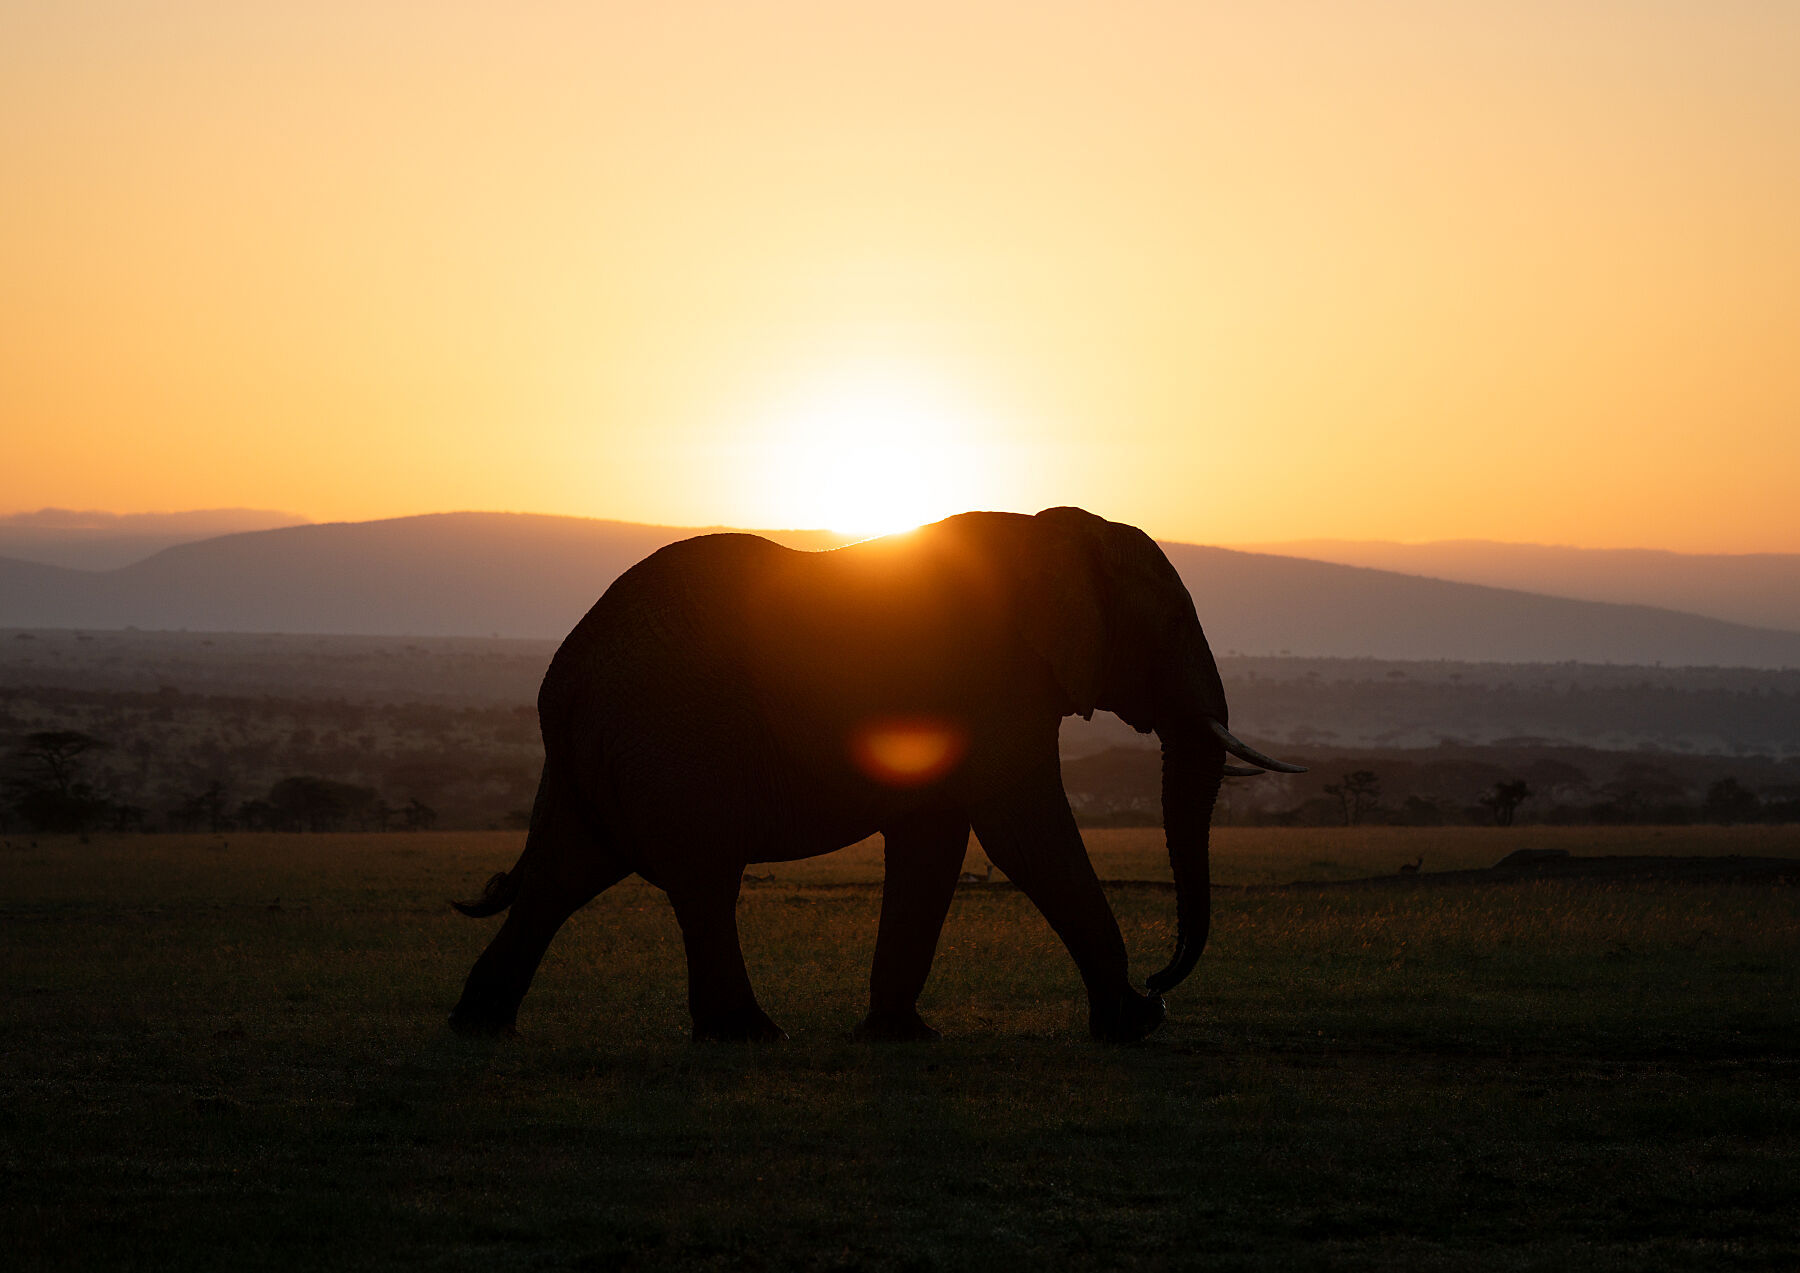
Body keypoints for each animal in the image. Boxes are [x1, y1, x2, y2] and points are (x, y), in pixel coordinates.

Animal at [449, 506, 1302, 1044]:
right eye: (1171, 623)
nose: (1162, 980)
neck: (1055, 533)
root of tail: (561, 683)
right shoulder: (992, 683)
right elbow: (1023, 830)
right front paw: (1131, 1026)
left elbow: (934, 839)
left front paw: (901, 1035)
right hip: (671, 736)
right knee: (701, 882)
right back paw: (752, 1037)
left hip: (604, 757)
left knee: (563, 873)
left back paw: (479, 1027)